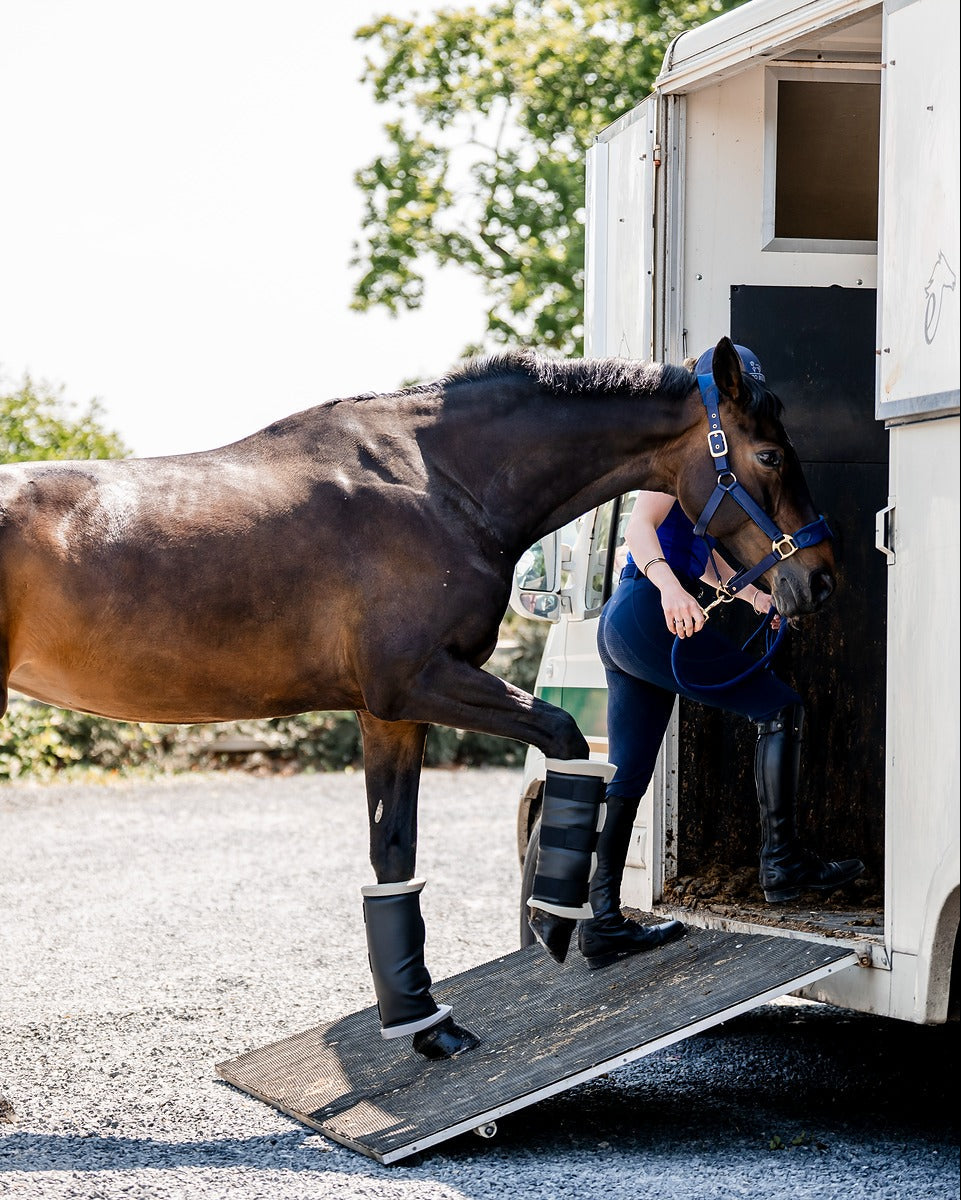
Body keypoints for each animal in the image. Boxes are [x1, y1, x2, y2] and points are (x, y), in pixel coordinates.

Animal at [0, 337, 835, 1060]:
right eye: (768, 454)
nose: (820, 578)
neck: (438, 484)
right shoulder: (423, 682)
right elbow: (565, 737)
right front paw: (548, 921)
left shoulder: (390, 714)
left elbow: (392, 855)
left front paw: (425, 1025)